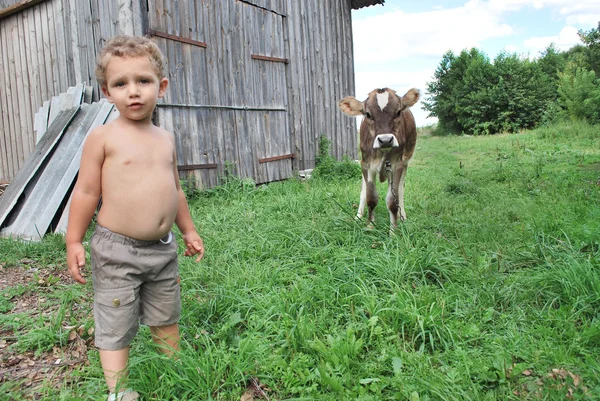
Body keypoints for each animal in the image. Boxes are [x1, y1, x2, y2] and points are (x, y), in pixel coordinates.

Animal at [340, 88, 420, 230]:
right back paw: (358, 217)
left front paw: (393, 230)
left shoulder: (397, 164)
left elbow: (393, 200)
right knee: (364, 189)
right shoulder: (366, 163)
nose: (386, 140)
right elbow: (370, 197)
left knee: (400, 189)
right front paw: (370, 226)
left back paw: (402, 217)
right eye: (368, 114)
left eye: (398, 112)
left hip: (406, 161)